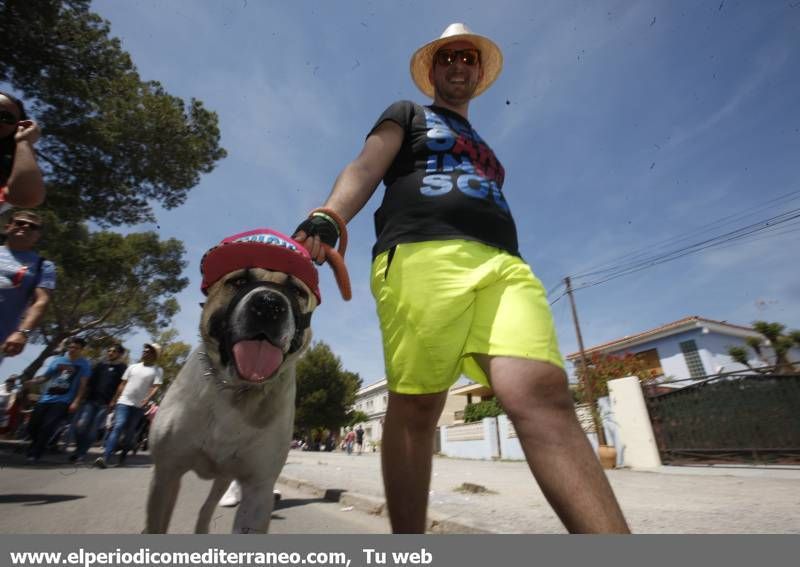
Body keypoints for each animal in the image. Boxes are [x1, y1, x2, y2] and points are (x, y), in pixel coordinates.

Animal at [145, 230, 320, 532]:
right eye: (238, 281)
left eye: (297, 291)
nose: (269, 304)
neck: (235, 389)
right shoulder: (166, 474)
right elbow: (156, 525)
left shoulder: (258, 490)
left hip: (225, 476)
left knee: (206, 508)